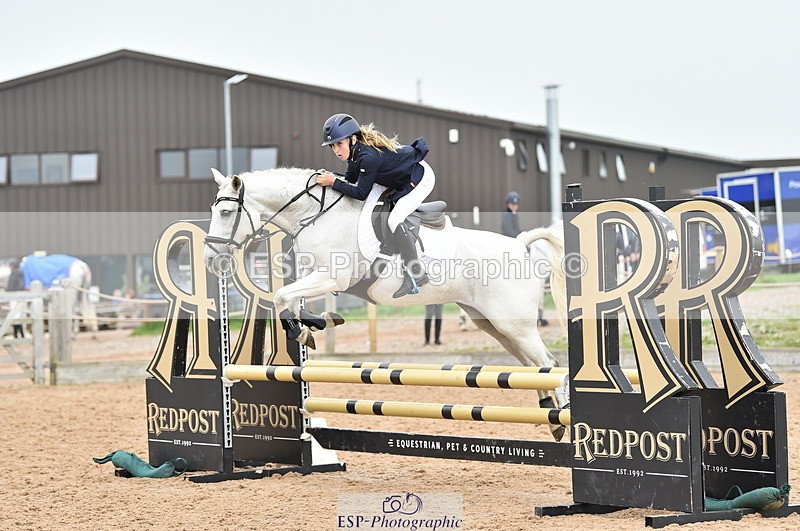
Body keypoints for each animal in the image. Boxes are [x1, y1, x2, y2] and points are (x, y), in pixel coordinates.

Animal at [203, 167, 569, 439]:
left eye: (226, 212)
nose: (210, 259)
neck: (315, 216)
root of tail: (521, 244)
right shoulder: (313, 275)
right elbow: (292, 299)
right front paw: (315, 325)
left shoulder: (332, 278)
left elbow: (283, 297)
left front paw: (302, 329)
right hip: (492, 324)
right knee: (532, 366)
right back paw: (550, 416)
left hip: (514, 324)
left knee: (549, 364)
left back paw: (563, 419)